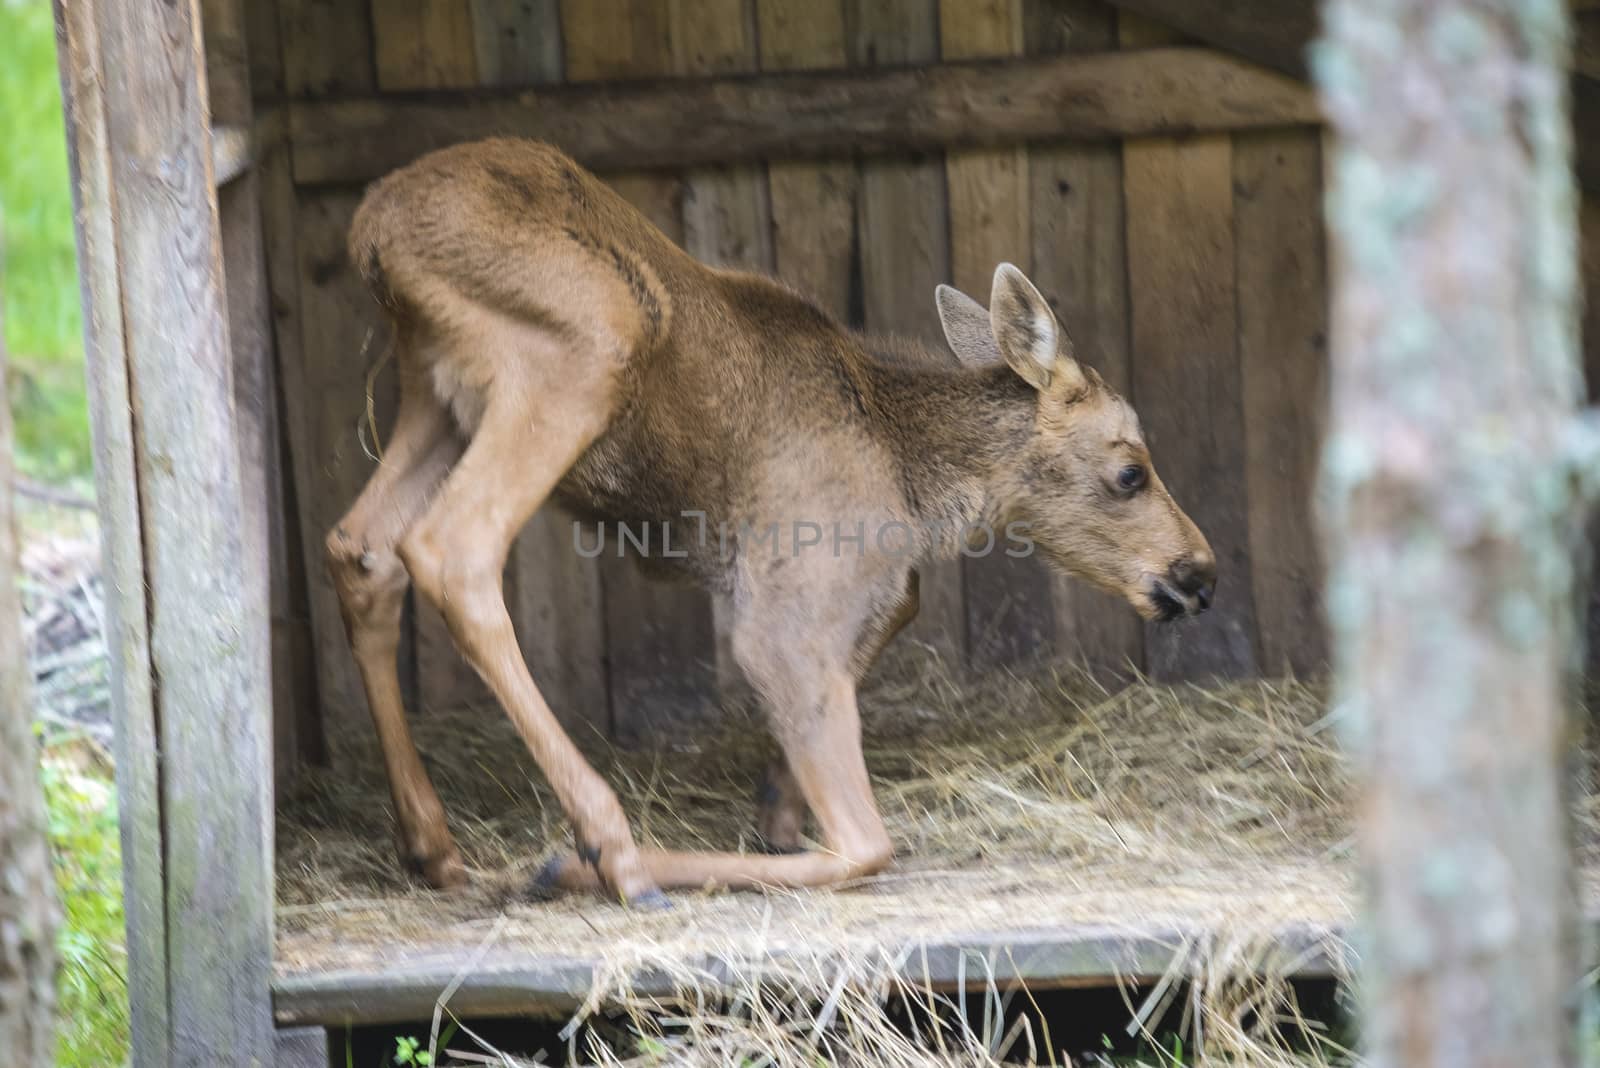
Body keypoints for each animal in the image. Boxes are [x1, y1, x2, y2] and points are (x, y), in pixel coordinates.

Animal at [331, 139, 1216, 908]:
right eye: (1130, 472)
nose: (1198, 572)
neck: (917, 478)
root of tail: (372, 228)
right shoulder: (784, 616)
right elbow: (864, 844)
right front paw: (589, 862)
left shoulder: (862, 597)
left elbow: (879, 639)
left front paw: (777, 809)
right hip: (573, 356)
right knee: (452, 549)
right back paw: (610, 849)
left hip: (436, 395)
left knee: (363, 548)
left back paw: (433, 847)